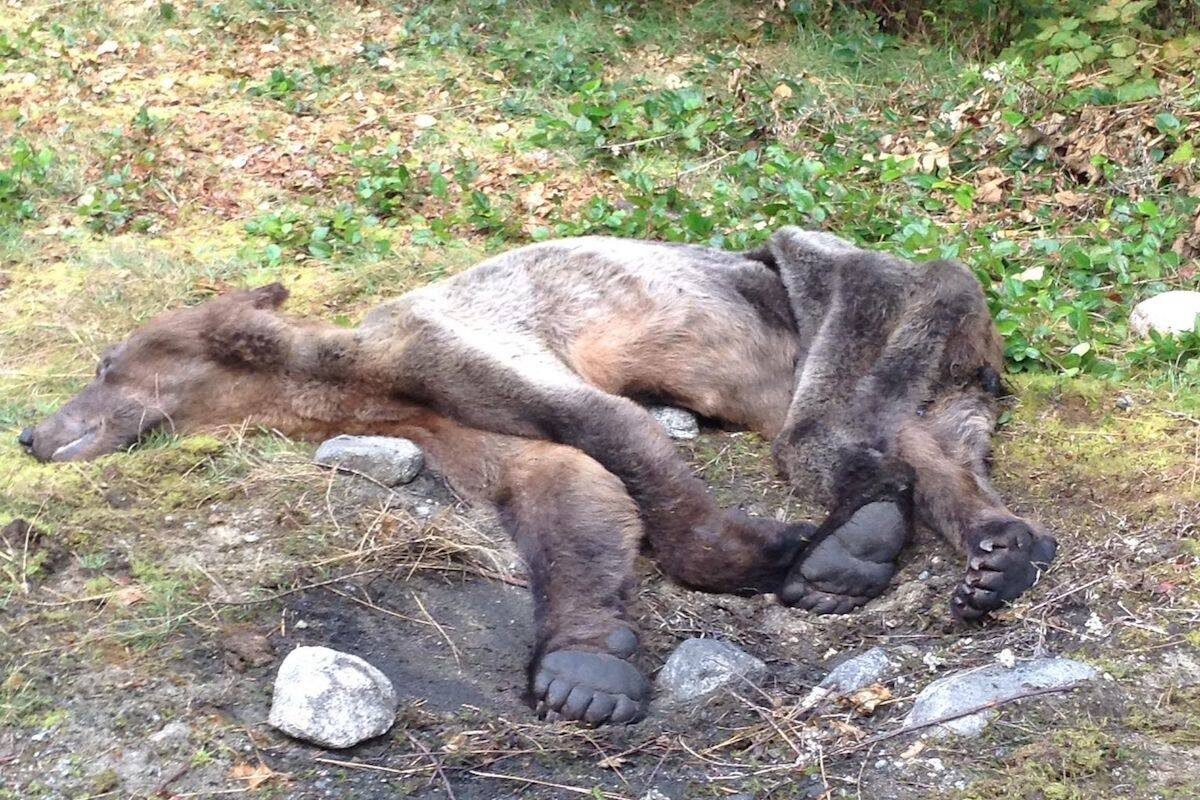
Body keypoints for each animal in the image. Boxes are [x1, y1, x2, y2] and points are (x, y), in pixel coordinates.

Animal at [19, 228, 1056, 725]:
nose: (30, 432)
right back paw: (999, 551)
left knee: (832, 411)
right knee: (936, 443)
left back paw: (856, 540)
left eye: (106, 364)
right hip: (931, 371)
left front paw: (770, 550)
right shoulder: (445, 421)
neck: (354, 384)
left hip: (865, 304)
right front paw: (585, 672)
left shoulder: (472, 346)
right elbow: (565, 489)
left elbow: (612, 434)